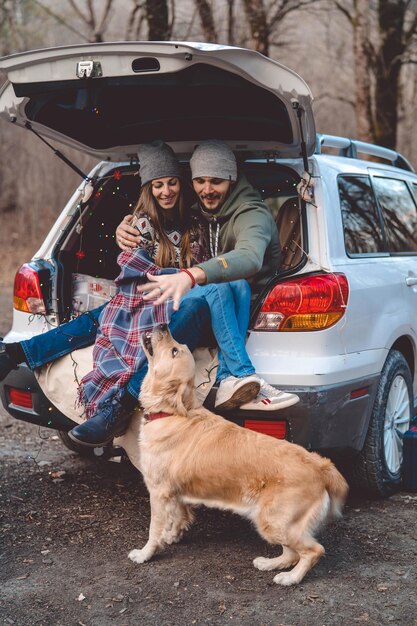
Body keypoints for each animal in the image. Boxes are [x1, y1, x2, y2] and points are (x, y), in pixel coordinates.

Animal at [129, 324, 348, 584]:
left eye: (174, 351)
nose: (163, 325)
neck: (171, 412)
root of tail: (321, 466)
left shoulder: (158, 491)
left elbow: (154, 529)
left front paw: (146, 553)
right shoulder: (176, 490)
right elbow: (179, 515)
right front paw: (173, 535)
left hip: (273, 520)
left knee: (313, 550)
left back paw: (291, 578)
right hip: (275, 522)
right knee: (291, 552)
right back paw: (270, 564)